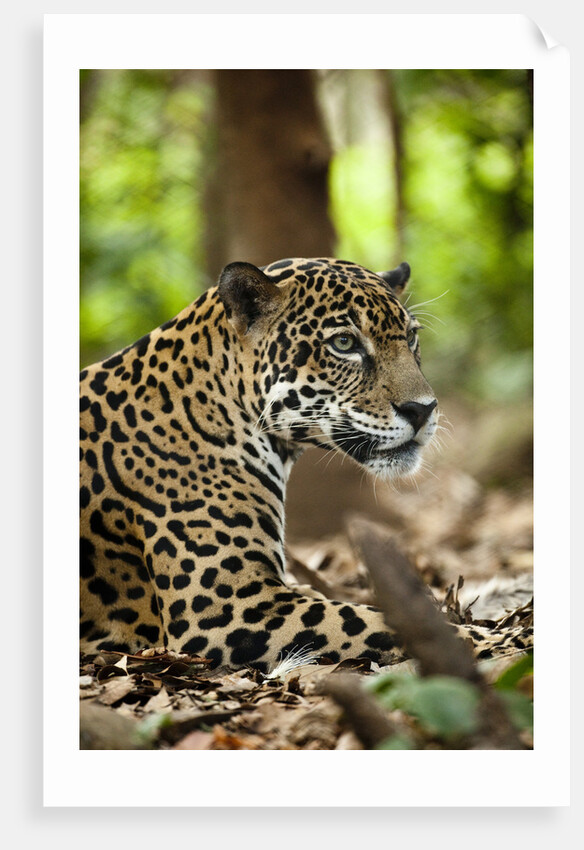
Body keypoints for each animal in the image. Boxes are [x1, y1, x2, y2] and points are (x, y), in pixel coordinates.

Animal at [80, 257, 532, 672]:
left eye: (410, 337)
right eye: (345, 344)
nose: (423, 410)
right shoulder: (229, 607)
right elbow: (367, 621)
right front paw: (501, 641)